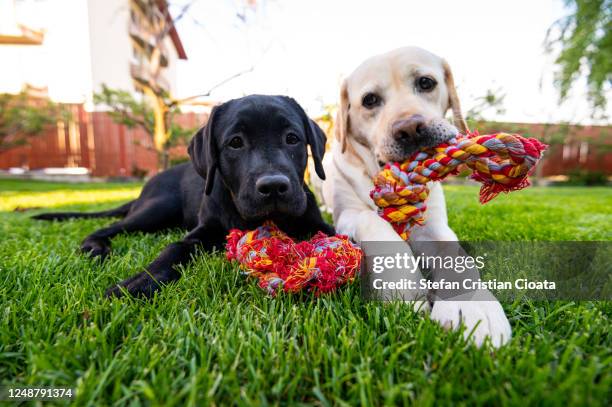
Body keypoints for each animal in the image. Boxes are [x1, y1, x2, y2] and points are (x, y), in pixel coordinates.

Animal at [33, 96, 334, 300]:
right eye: (235, 142)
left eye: (292, 138)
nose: (273, 186)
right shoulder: (202, 231)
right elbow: (174, 248)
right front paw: (140, 281)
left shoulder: (316, 222)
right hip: (157, 208)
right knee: (109, 227)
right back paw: (95, 247)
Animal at [320, 47, 512, 348]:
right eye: (369, 100)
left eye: (425, 82)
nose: (410, 129)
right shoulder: (347, 214)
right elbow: (373, 222)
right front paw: (402, 283)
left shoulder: (434, 225)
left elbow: (456, 256)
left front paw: (472, 304)